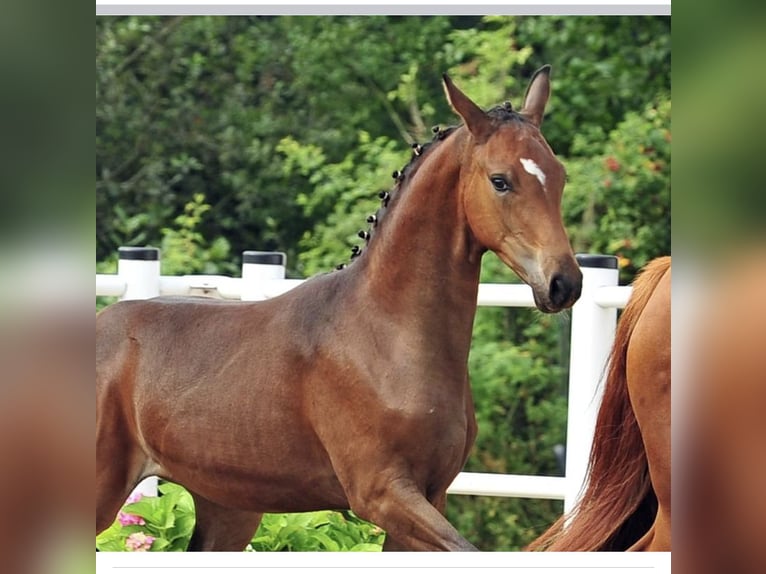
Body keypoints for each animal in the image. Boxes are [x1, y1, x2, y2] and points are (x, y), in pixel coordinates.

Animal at [94, 66, 584, 552]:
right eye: (500, 180)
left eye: (560, 175)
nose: (564, 283)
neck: (388, 334)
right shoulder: (382, 494)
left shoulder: (430, 497)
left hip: (230, 508)